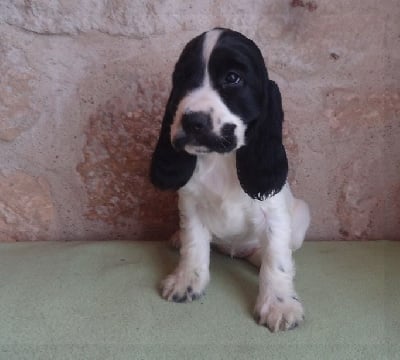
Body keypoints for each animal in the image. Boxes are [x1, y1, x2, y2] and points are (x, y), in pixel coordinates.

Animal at [150, 28, 310, 332]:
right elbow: (194, 245)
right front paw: (187, 281)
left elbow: (276, 258)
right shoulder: (191, 206)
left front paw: (279, 304)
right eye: (183, 77)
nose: (192, 121)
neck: (221, 159)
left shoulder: (274, 213)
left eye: (232, 78)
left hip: (301, 214)